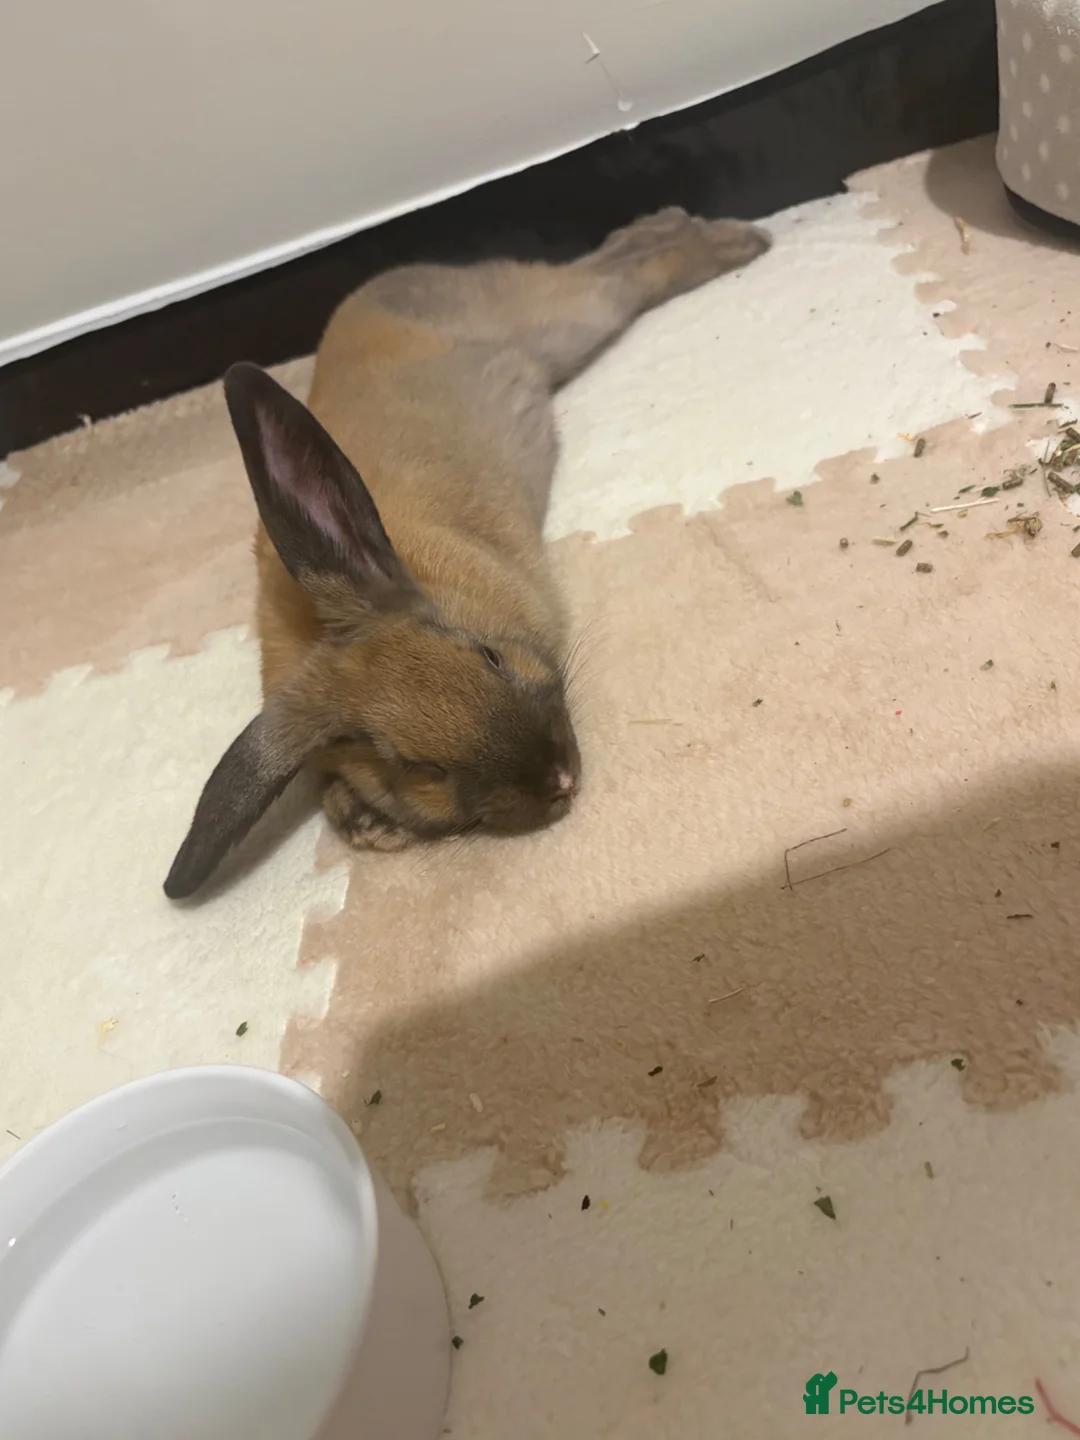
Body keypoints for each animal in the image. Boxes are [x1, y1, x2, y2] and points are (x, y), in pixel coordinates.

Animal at [163, 206, 771, 899]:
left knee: (630, 268)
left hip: (566, 319)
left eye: (489, 657)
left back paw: (736, 239)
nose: (560, 779)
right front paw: (365, 822)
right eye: (419, 767)